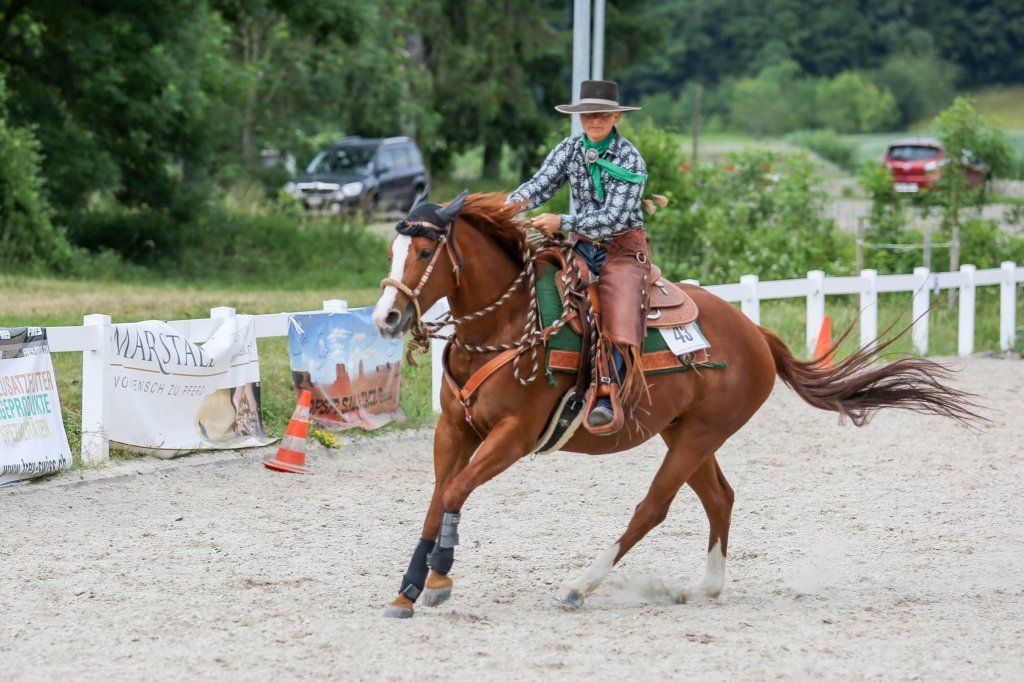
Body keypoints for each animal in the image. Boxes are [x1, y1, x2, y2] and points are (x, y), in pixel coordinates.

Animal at [371, 192, 977, 618]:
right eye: (391, 251)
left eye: (423, 251)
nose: (386, 318)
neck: (509, 325)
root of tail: (756, 333)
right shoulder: (455, 430)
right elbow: (437, 498)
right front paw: (408, 591)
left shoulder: (514, 436)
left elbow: (454, 491)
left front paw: (440, 580)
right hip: (683, 432)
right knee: (720, 497)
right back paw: (705, 585)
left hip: (700, 435)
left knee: (653, 507)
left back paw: (579, 586)